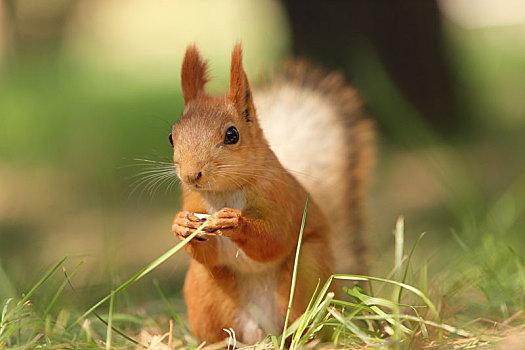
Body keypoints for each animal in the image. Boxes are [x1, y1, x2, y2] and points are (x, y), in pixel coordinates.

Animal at [169, 43, 372, 344]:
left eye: (232, 135)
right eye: (172, 136)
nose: (191, 176)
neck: (224, 192)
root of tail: (260, 332)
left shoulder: (279, 197)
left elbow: (273, 240)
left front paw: (234, 222)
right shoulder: (193, 200)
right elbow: (207, 255)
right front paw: (181, 225)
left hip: (306, 273)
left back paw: (306, 338)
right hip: (204, 289)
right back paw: (216, 344)